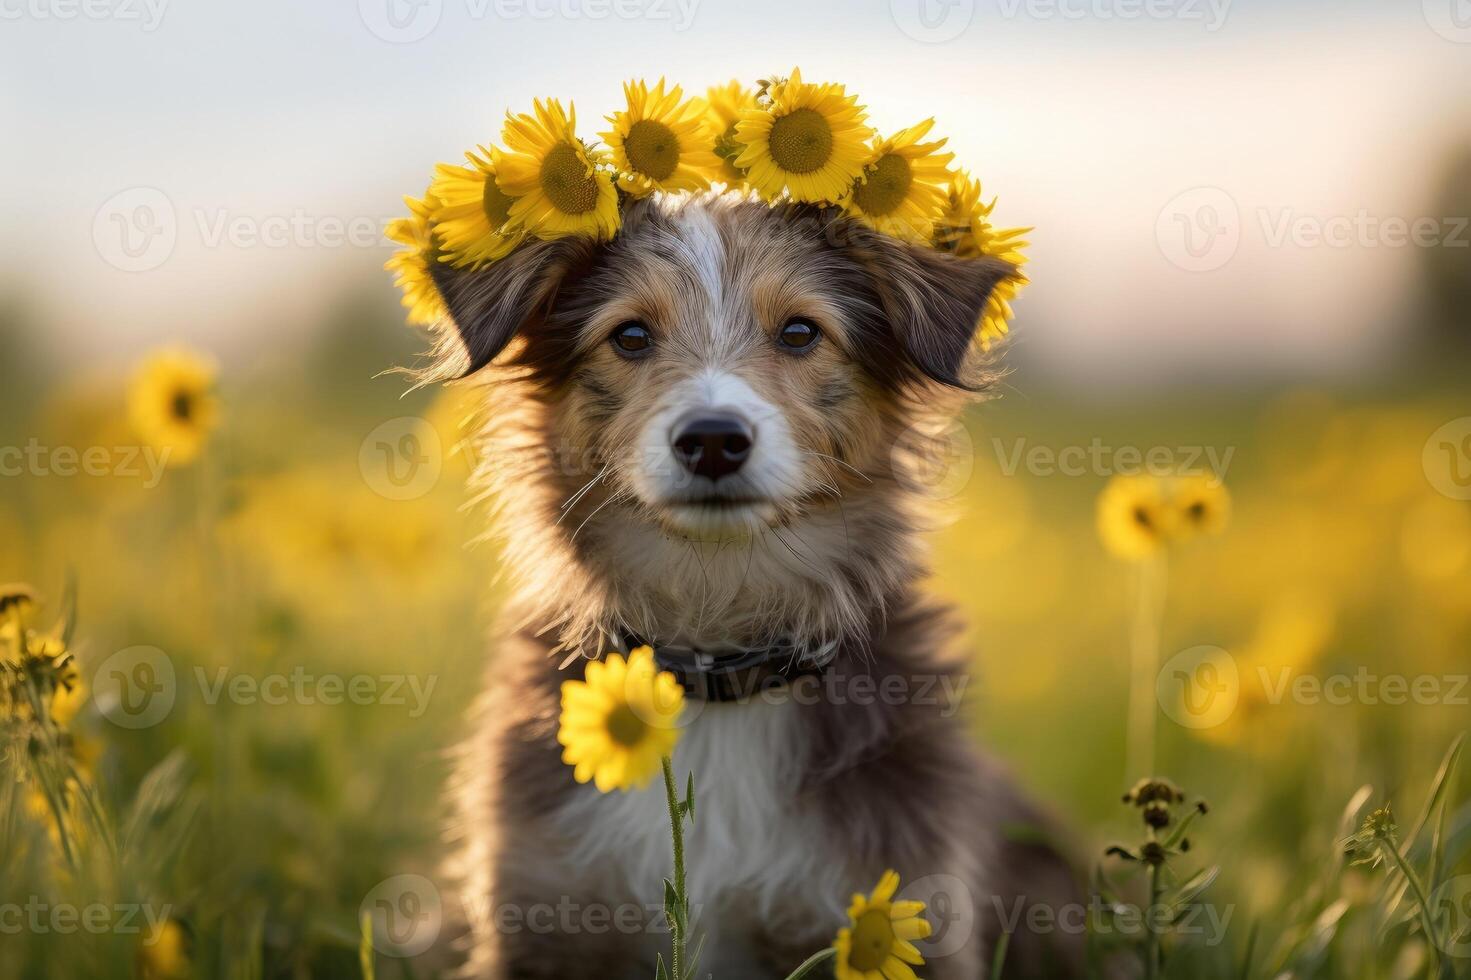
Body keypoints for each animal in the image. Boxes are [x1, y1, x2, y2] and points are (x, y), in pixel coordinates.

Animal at [420, 192, 1088, 977]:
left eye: (800, 332)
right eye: (630, 335)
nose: (712, 439)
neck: (720, 670)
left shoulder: (899, 913)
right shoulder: (537, 909)